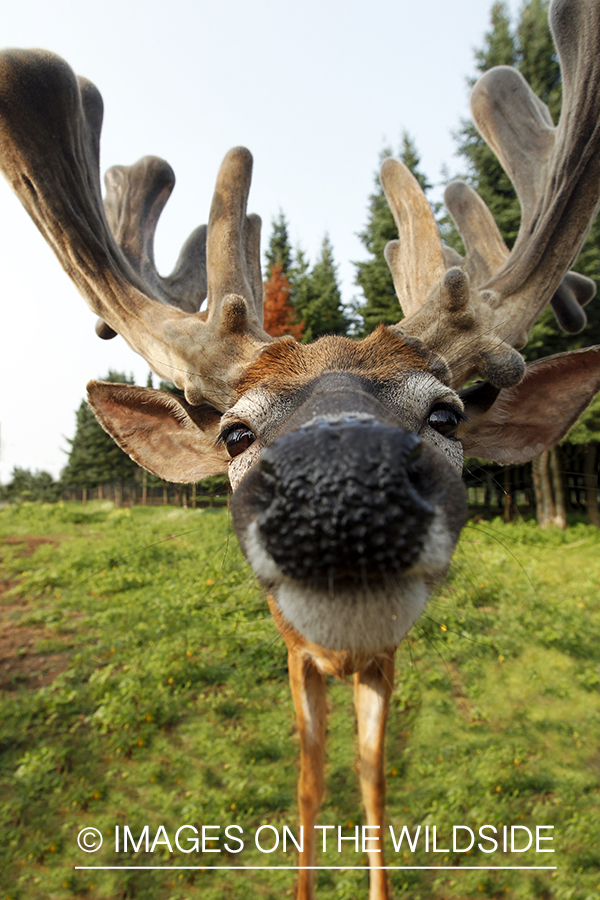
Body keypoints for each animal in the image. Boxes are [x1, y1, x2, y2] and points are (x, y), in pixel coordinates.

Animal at [0, 3, 596, 896]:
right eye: (235, 432)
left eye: (448, 414)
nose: (343, 490)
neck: (344, 654)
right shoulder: (296, 650)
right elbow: (311, 778)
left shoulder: (384, 658)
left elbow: (374, 780)